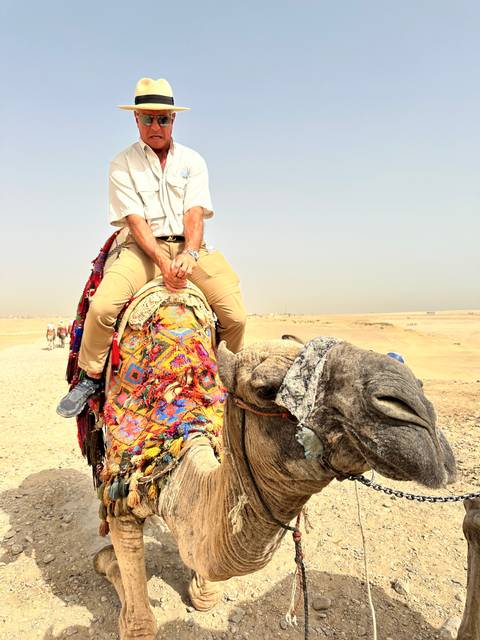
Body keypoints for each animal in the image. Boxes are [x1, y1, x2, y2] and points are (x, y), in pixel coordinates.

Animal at [90, 299, 458, 640]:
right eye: (266, 390)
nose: (419, 414)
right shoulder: (124, 488)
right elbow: (138, 622)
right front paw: (108, 563)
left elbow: (204, 590)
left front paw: (199, 586)